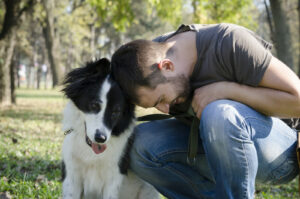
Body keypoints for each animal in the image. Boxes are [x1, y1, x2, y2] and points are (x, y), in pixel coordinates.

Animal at [60, 58, 159, 199]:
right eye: (94, 105)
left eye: (115, 112)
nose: (101, 138)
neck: (91, 152)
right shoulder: (72, 175)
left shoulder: (113, 179)